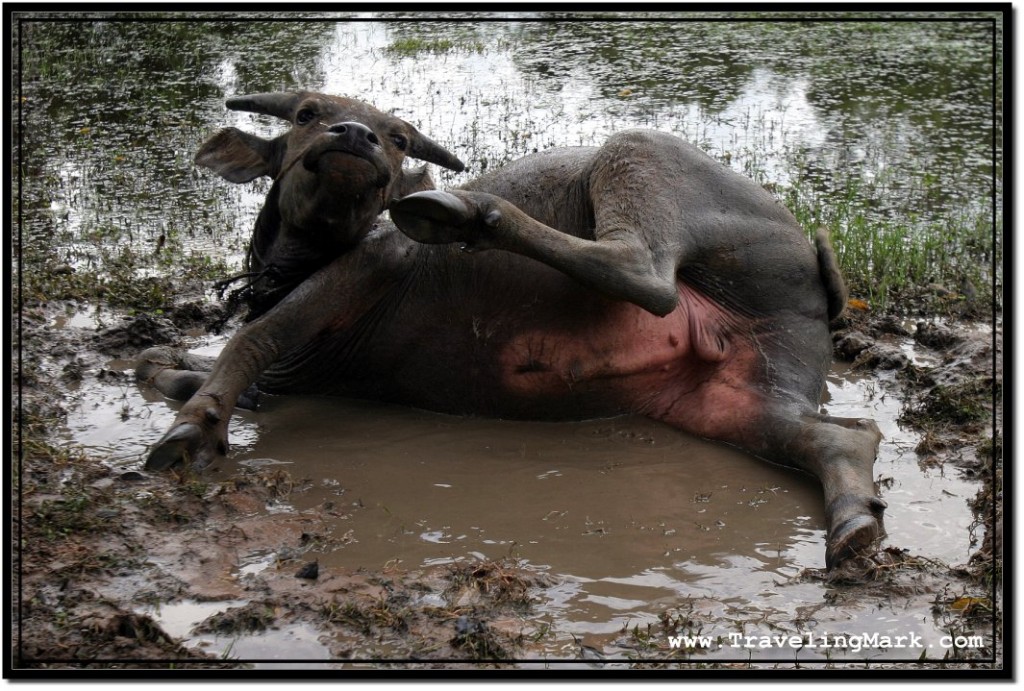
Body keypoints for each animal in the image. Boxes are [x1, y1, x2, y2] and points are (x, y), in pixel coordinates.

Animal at [138, 90, 888, 569]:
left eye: (398, 137)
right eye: (306, 115)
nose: (354, 136)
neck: (303, 259)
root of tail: (809, 249)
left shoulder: (368, 268)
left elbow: (249, 339)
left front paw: (190, 431)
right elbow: (162, 361)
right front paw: (200, 387)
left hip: (641, 156)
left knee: (642, 269)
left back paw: (459, 211)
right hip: (740, 395)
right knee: (837, 435)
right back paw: (855, 521)